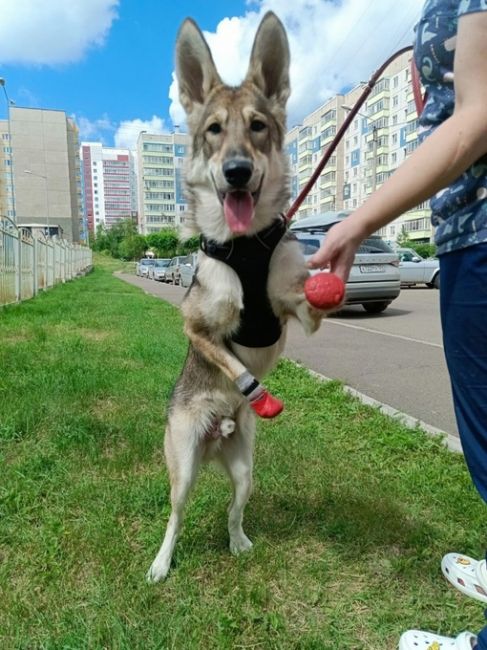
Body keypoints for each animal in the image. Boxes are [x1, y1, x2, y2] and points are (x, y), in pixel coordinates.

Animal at [145, 10, 328, 580]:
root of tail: (215, 438)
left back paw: (239, 541)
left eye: (258, 126)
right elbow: (232, 362)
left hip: (246, 469)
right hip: (182, 470)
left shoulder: (294, 309)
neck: (246, 246)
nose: (237, 172)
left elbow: (309, 300)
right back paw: (161, 563)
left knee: (232, 510)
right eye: (214, 131)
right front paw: (255, 390)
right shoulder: (197, 327)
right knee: (175, 517)